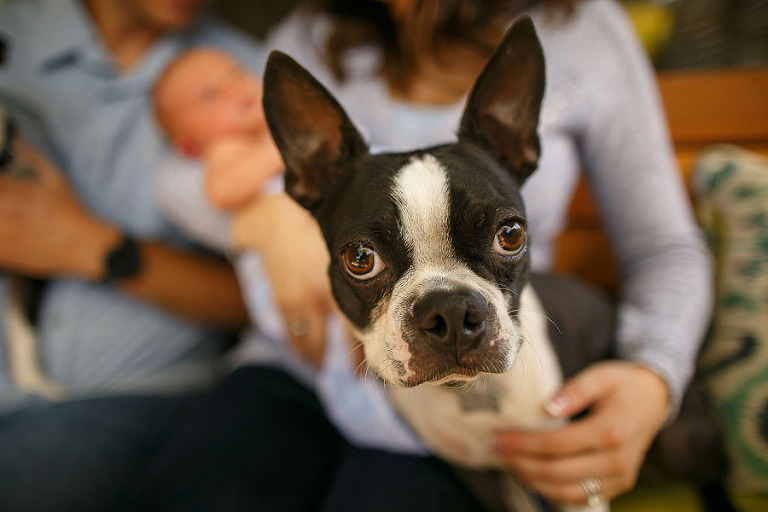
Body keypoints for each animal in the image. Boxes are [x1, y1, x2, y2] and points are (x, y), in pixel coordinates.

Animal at [262, 17, 612, 512]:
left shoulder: (572, 478)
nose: (449, 310)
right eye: (360, 259)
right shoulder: (477, 474)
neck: (471, 395)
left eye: (511, 234)